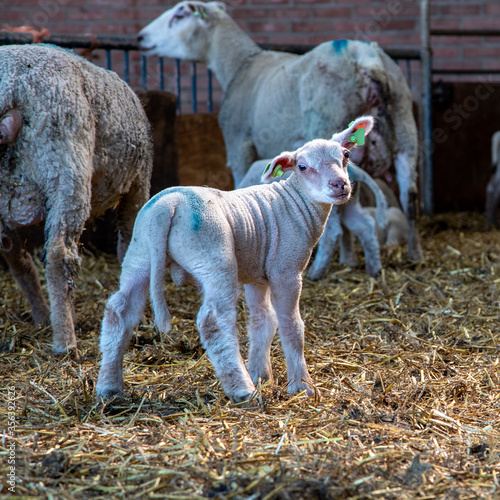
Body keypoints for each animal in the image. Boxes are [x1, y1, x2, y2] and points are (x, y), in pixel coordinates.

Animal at [0, 44, 153, 356]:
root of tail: (11, 85)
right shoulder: (138, 182)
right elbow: (129, 249)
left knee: (17, 255)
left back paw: (44, 317)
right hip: (66, 169)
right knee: (60, 255)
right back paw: (65, 342)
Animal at [95, 115, 374, 400]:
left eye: (346, 155)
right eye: (303, 166)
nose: (340, 185)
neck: (295, 204)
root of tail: (170, 205)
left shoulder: (257, 275)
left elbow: (263, 320)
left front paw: (261, 375)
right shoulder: (286, 271)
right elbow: (291, 325)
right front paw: (301, 386)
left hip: (139, 253)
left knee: (119, 311)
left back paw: (110, 387)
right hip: (215, 259)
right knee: (214, 321)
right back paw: (242, 390)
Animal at [139, 0, 424, 262]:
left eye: (179, 15)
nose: (141, 37)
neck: (240, 64)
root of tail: (368, 61)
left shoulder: (239, 142)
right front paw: (348, 258)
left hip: (330, 121)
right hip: (405, 129)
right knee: (409, 198)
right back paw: (411, 255)